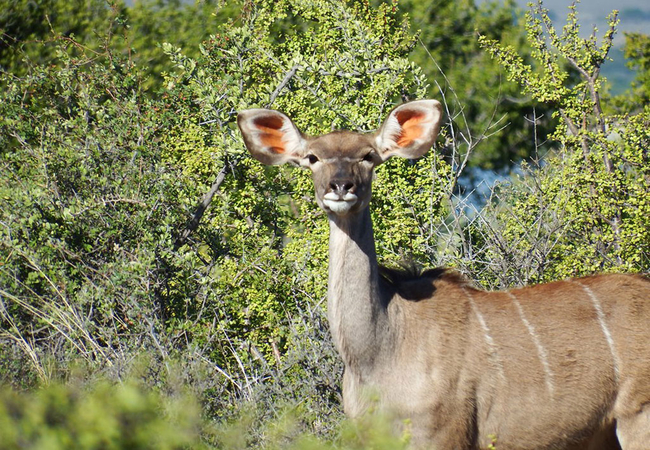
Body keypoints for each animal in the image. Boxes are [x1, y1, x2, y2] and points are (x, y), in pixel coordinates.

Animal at [237, 100, 648, 448]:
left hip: (637, 418)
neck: (381, 349)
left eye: (369, 156)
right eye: (312, 157)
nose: (341, 187)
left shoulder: (441, 432)